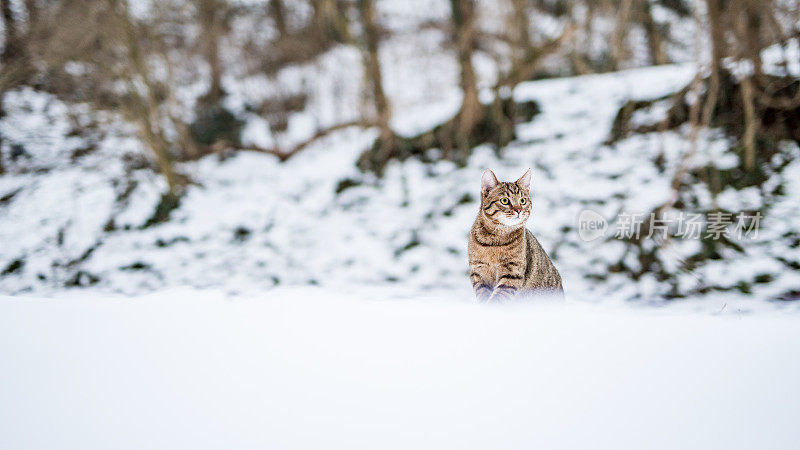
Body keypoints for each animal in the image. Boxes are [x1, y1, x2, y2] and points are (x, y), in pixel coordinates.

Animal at [468, 169, 564, 302]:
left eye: (522, 201)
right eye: (504, 200)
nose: (519, 210)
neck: (495, 241)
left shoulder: (513, 272)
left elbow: (497, 299)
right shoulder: (478, 271)